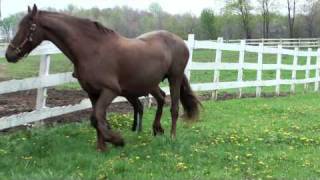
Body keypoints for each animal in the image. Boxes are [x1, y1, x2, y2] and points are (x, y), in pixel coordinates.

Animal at [5, 4, 200, 151]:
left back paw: (172, 137)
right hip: (151, 83)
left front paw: (116, 140)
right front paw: (102, 147)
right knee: (161, 99)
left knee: (174, 108)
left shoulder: (110, 91)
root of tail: (181, 42)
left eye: (29, 27)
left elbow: (97, 118)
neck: (92, 50)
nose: (9, 55)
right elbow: (96, 119)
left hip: (174, 78)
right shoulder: (92, 93)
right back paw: (157, 129)